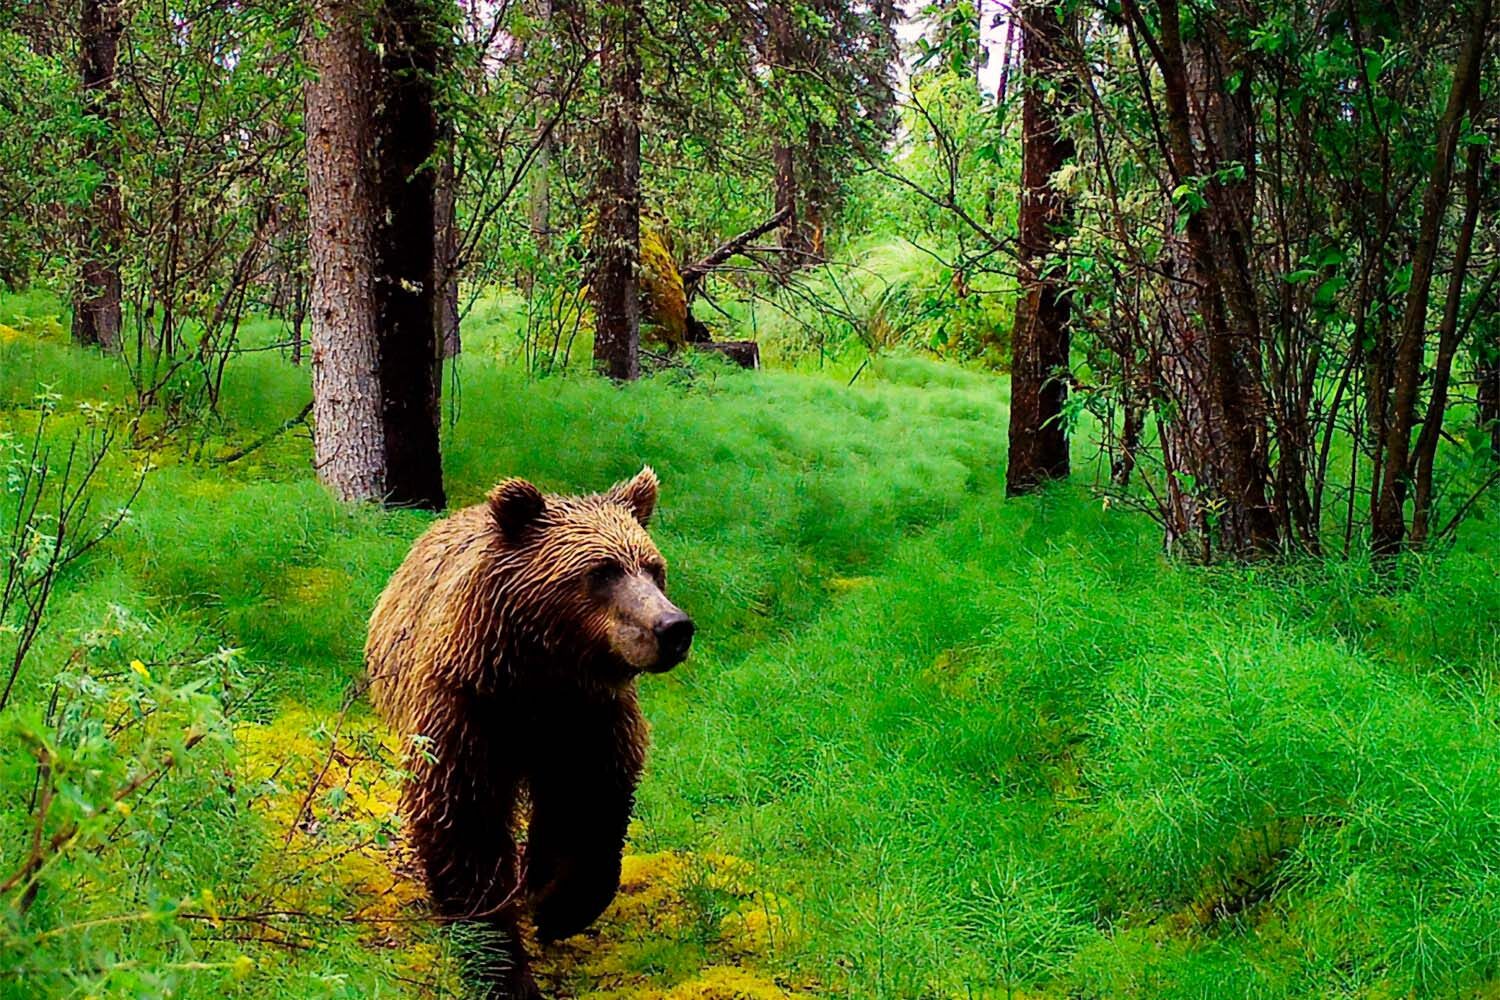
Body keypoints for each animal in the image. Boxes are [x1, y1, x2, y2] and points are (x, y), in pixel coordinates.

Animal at [365, 467, 694, 999]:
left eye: (653, 567)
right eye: (602, 571)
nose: (673, 627)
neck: (541, 674)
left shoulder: (588, 720)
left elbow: (593, 805)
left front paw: (558, 908)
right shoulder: (470, 714)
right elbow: (464, 826)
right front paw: (501, 965)